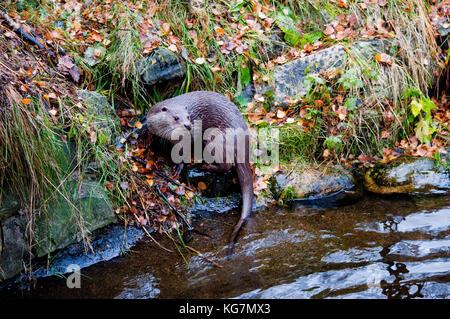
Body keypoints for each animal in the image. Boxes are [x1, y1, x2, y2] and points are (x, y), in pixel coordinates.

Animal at [147, 91, 255, 256]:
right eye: (176, 117)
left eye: (188, 116)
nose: (188, 125)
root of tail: (244, 142)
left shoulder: (186, 139)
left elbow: (182, 152)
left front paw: (178, 167)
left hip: (214, 139)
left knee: (226, 165)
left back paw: (205, 166)